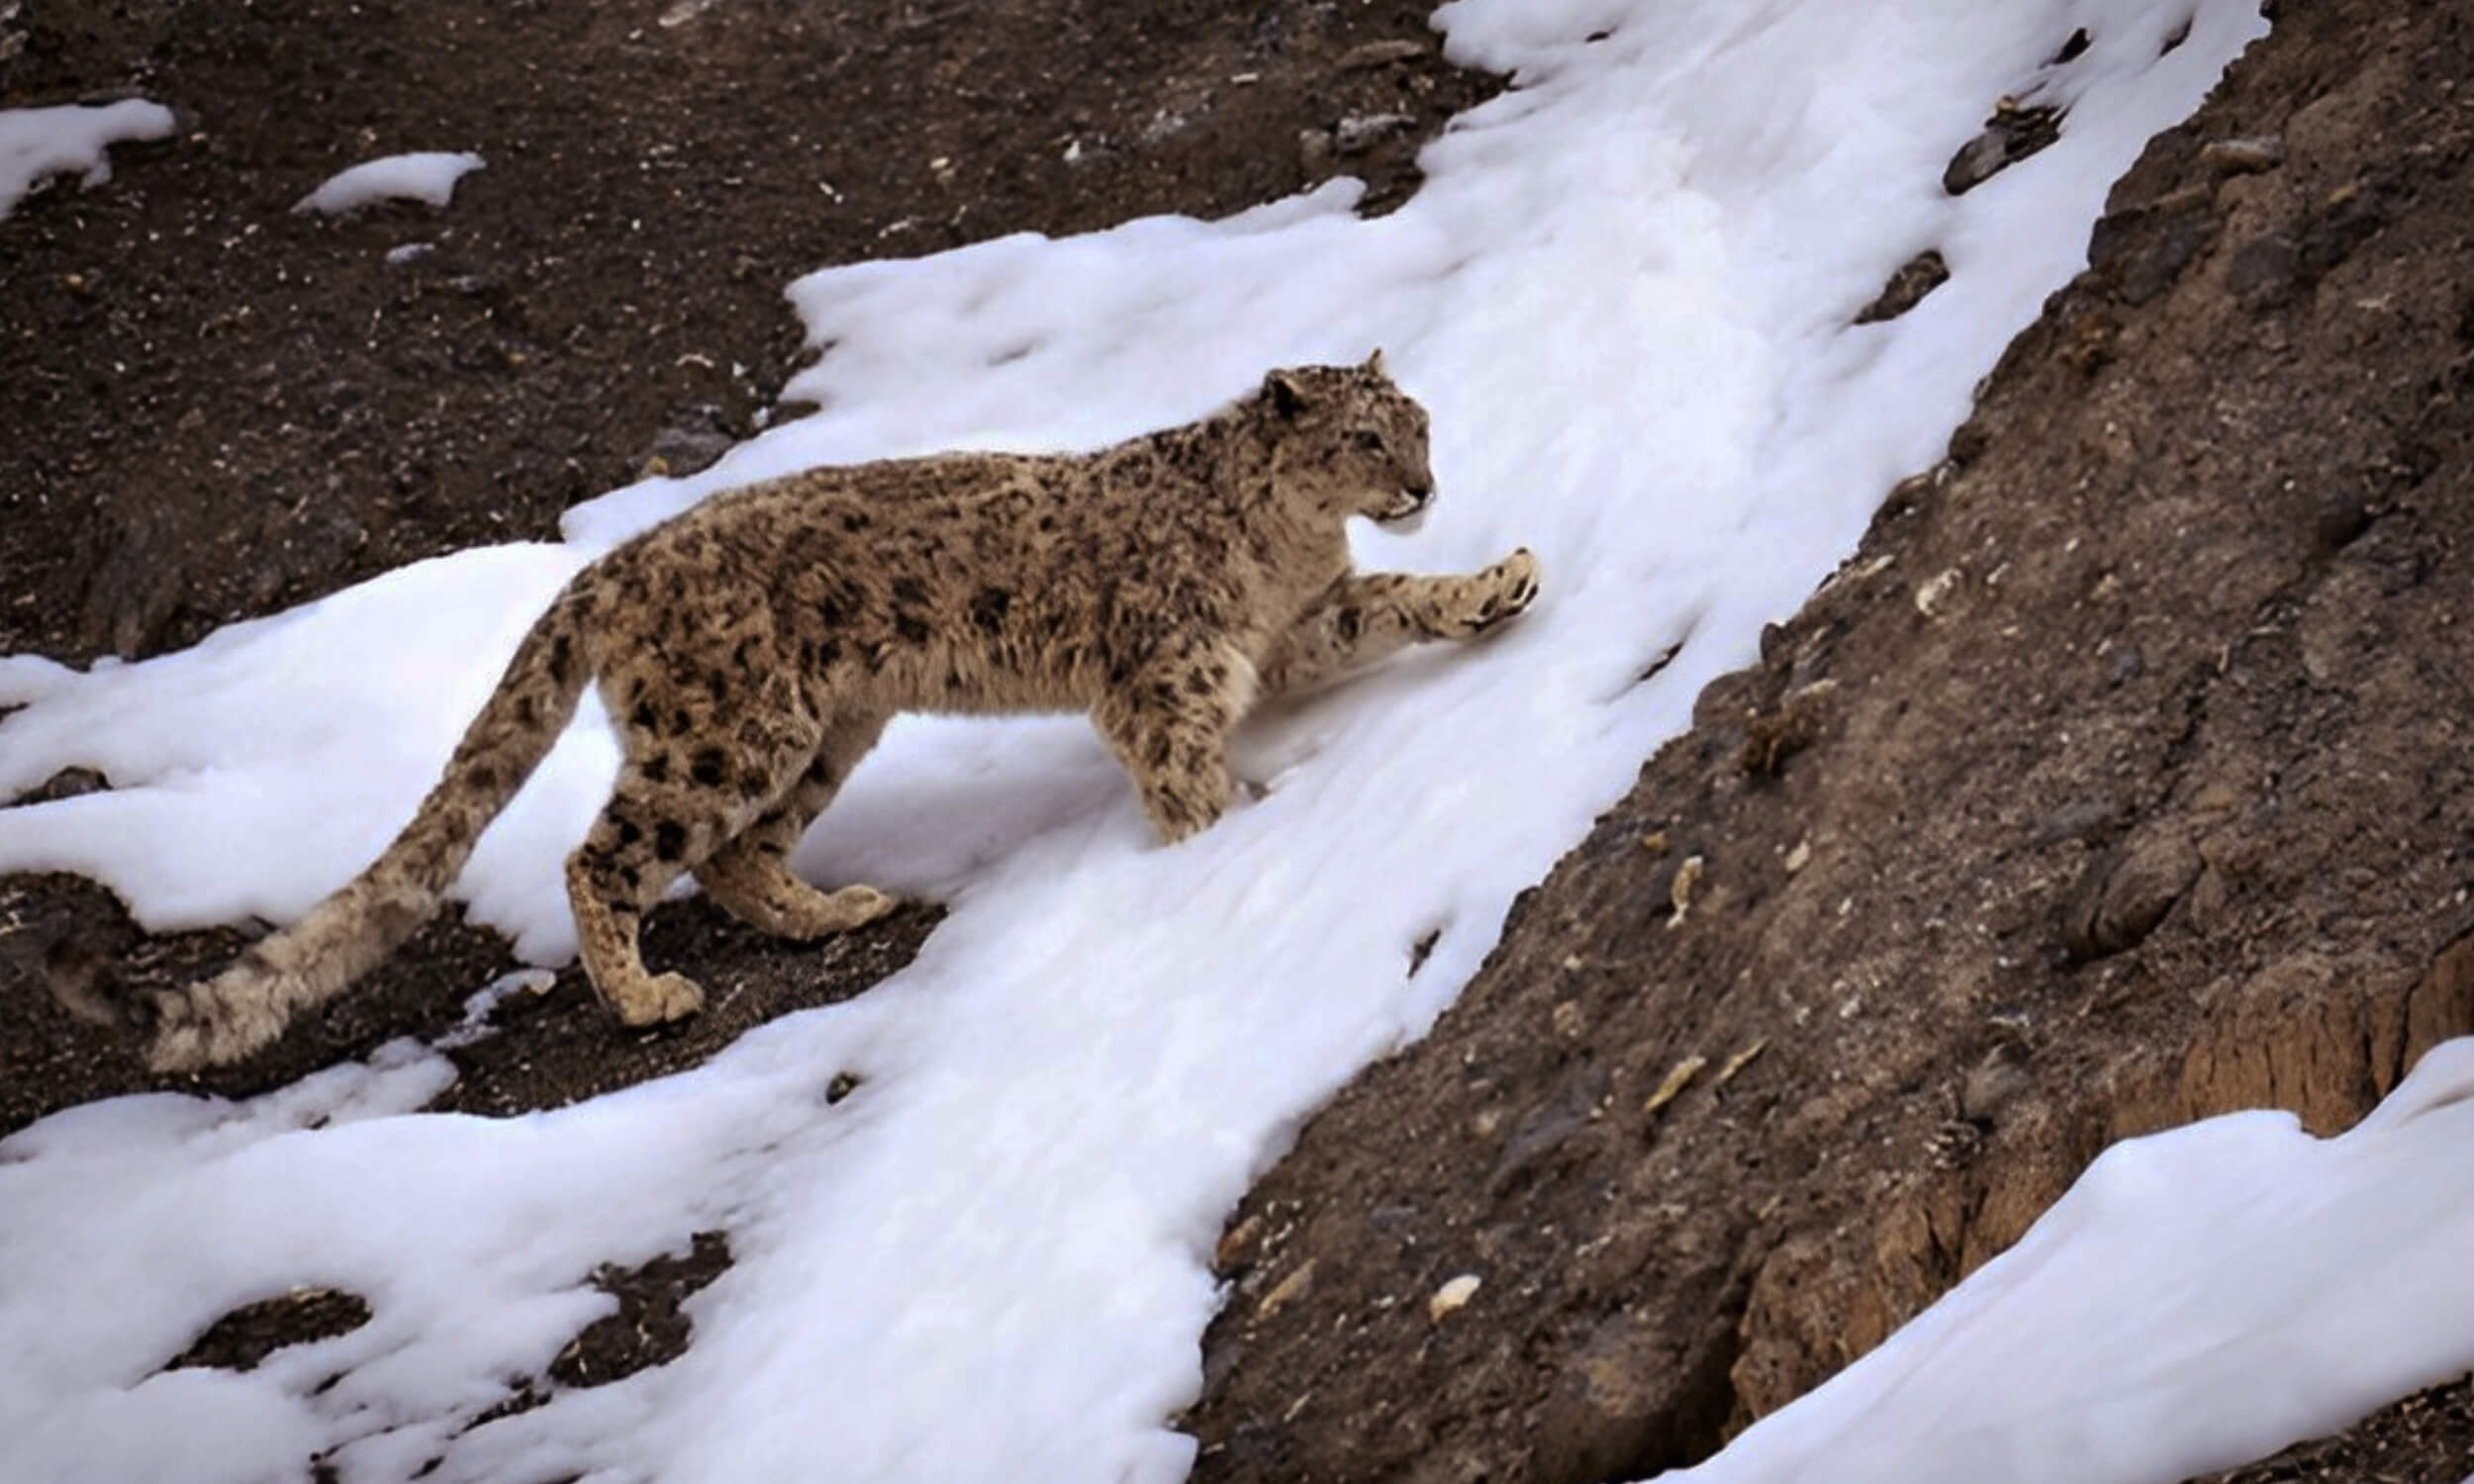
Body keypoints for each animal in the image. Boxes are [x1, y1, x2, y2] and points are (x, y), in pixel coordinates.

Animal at [144, 351, 1541, 1071]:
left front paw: (1495, 587)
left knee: (736, 858)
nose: (1422, 485)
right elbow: (1182, 776)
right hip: (730, 733)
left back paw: (831, 912)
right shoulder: (1170, 678)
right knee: (607, 854)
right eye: (1365, 438)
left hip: (821, 734)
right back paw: (646, 997)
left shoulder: (1295, 628)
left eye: (1419, 420)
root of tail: (612, 565)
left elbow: (1394, 603)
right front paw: (1225, 850)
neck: (1286, 552)